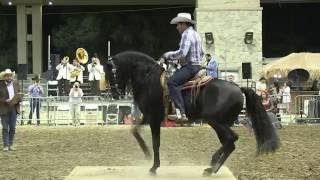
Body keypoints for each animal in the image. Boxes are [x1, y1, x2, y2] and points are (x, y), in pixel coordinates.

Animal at [105, 50, 280, 176]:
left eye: (112, 72)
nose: (115, 93)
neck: (148, 78)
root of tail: (238, 88)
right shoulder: (148, 116)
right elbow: (134, 131)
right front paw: (147, 154)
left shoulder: (154, 118)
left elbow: (156, 143)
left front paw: (154, 167)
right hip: (220, 123)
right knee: (229, 143)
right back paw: (212, 167)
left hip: (216, 122)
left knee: (231, 140)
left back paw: (212, 166)